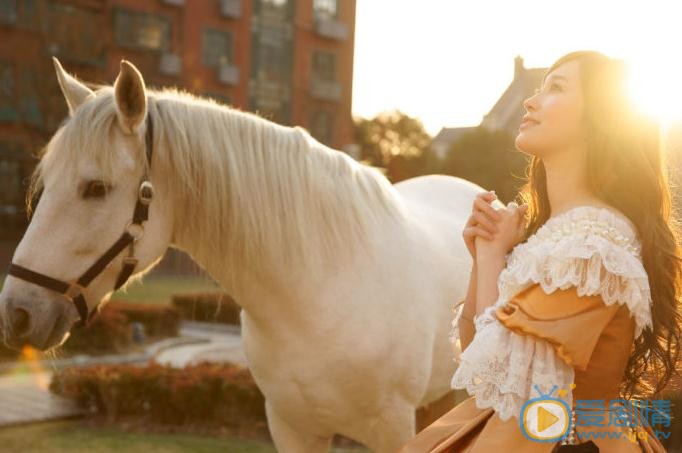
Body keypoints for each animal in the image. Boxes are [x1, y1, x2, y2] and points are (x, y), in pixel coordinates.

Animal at [0, 60, 488, 452]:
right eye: (46, 182)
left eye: (95, 188)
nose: (17, 312)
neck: (320, 294)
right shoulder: (291, 427)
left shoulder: (391, 428)